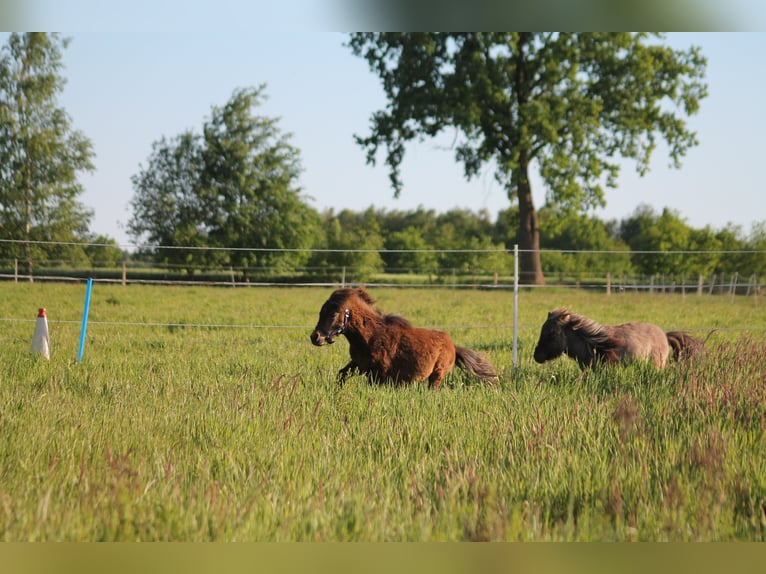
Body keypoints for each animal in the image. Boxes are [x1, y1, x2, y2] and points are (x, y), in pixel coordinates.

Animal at [308, 290, 500, 390]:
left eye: (333, 313)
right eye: (321, 311)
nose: (315, 337)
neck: (370, 336)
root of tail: (453, 346)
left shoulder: (379, 373)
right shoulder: (358, 363)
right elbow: (342, 374)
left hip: (437, 375)